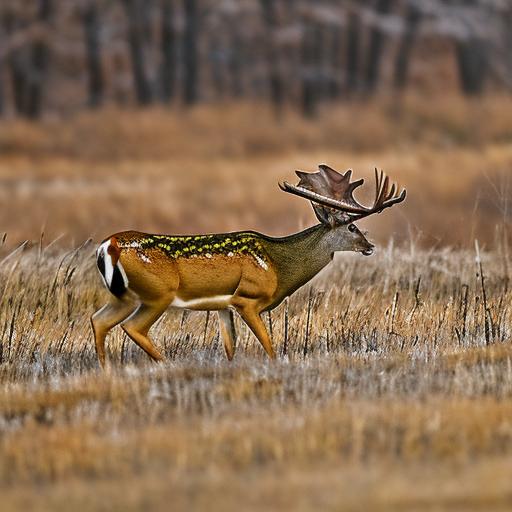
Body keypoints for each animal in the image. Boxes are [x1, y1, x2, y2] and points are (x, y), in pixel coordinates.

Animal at [91, 166, 404, 366]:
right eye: (352, 227)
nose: (369, 246)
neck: (278, 265)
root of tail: (109, 245)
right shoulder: (247, 299)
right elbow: (269, 346)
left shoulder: (223, 306)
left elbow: (231, 348)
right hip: (157, 293)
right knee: (132, 327)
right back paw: (165, 363)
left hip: (123, 296)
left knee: (98, 320)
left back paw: (108, 371)